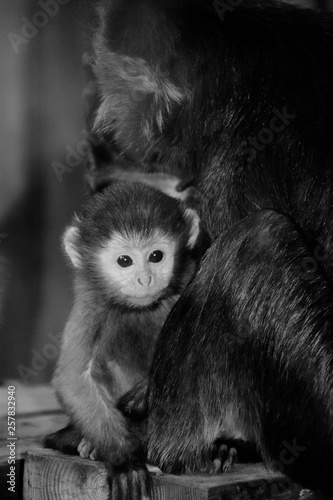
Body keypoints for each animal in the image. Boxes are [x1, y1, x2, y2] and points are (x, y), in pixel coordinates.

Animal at [50, 179, 198, 472]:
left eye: (156, 256)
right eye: (125, 261)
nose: (144, 279)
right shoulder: (91, 303)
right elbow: (73, 378)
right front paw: (126, 460)